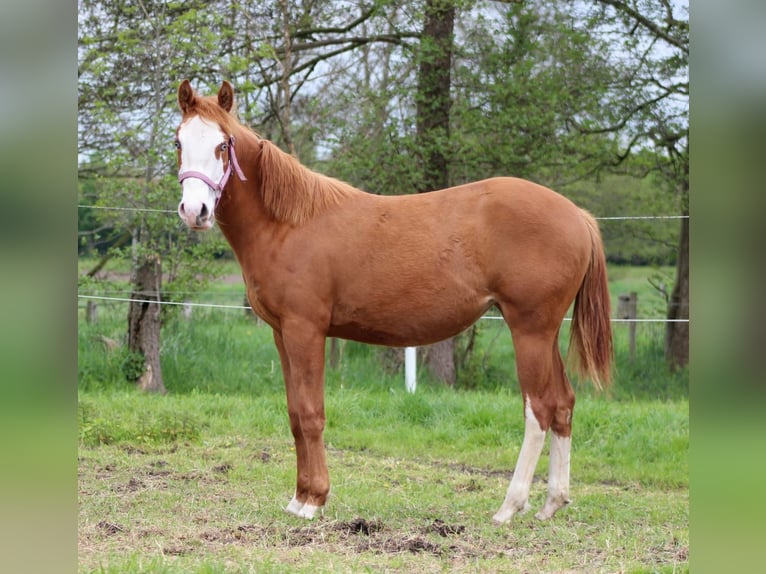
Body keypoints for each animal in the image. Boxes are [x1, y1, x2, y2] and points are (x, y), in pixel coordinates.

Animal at [174, 80, 613, 525]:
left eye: (223, 145)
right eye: (178, 142)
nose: (195, 211)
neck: (289, 224)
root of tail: (578, 215)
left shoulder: (305, 330)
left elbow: (312, 414)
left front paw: (314, 500)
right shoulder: (283, 334)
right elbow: (295, 414)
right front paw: (298, 497)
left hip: (530, 330)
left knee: (538, 409)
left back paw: (509, 506)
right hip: (546, 333)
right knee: (563, 403)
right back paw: (552, 502)